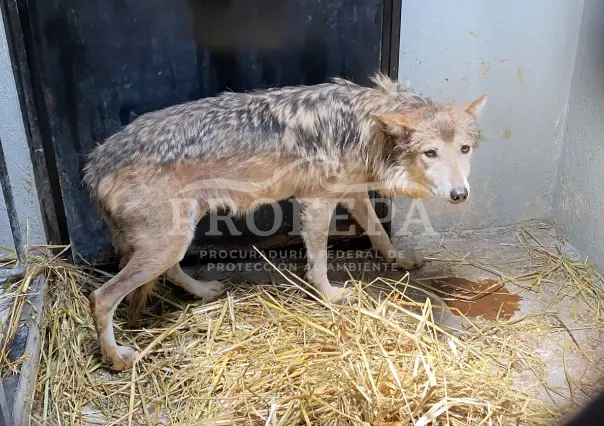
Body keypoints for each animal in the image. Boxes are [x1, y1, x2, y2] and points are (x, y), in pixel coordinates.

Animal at [82, 74, 486, 370]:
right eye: (430, 153)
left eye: (464, 150)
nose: (460, 194)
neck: (363, 127)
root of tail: (94, 163)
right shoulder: (317, 201)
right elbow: (319, 258)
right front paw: (330, 295)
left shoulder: (352, 194)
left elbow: (378, 233)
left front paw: (399, 260)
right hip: (169, 242)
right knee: (101, 297)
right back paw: (116, 357)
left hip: (176, 237)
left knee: (169, 272)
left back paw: (204, 291)